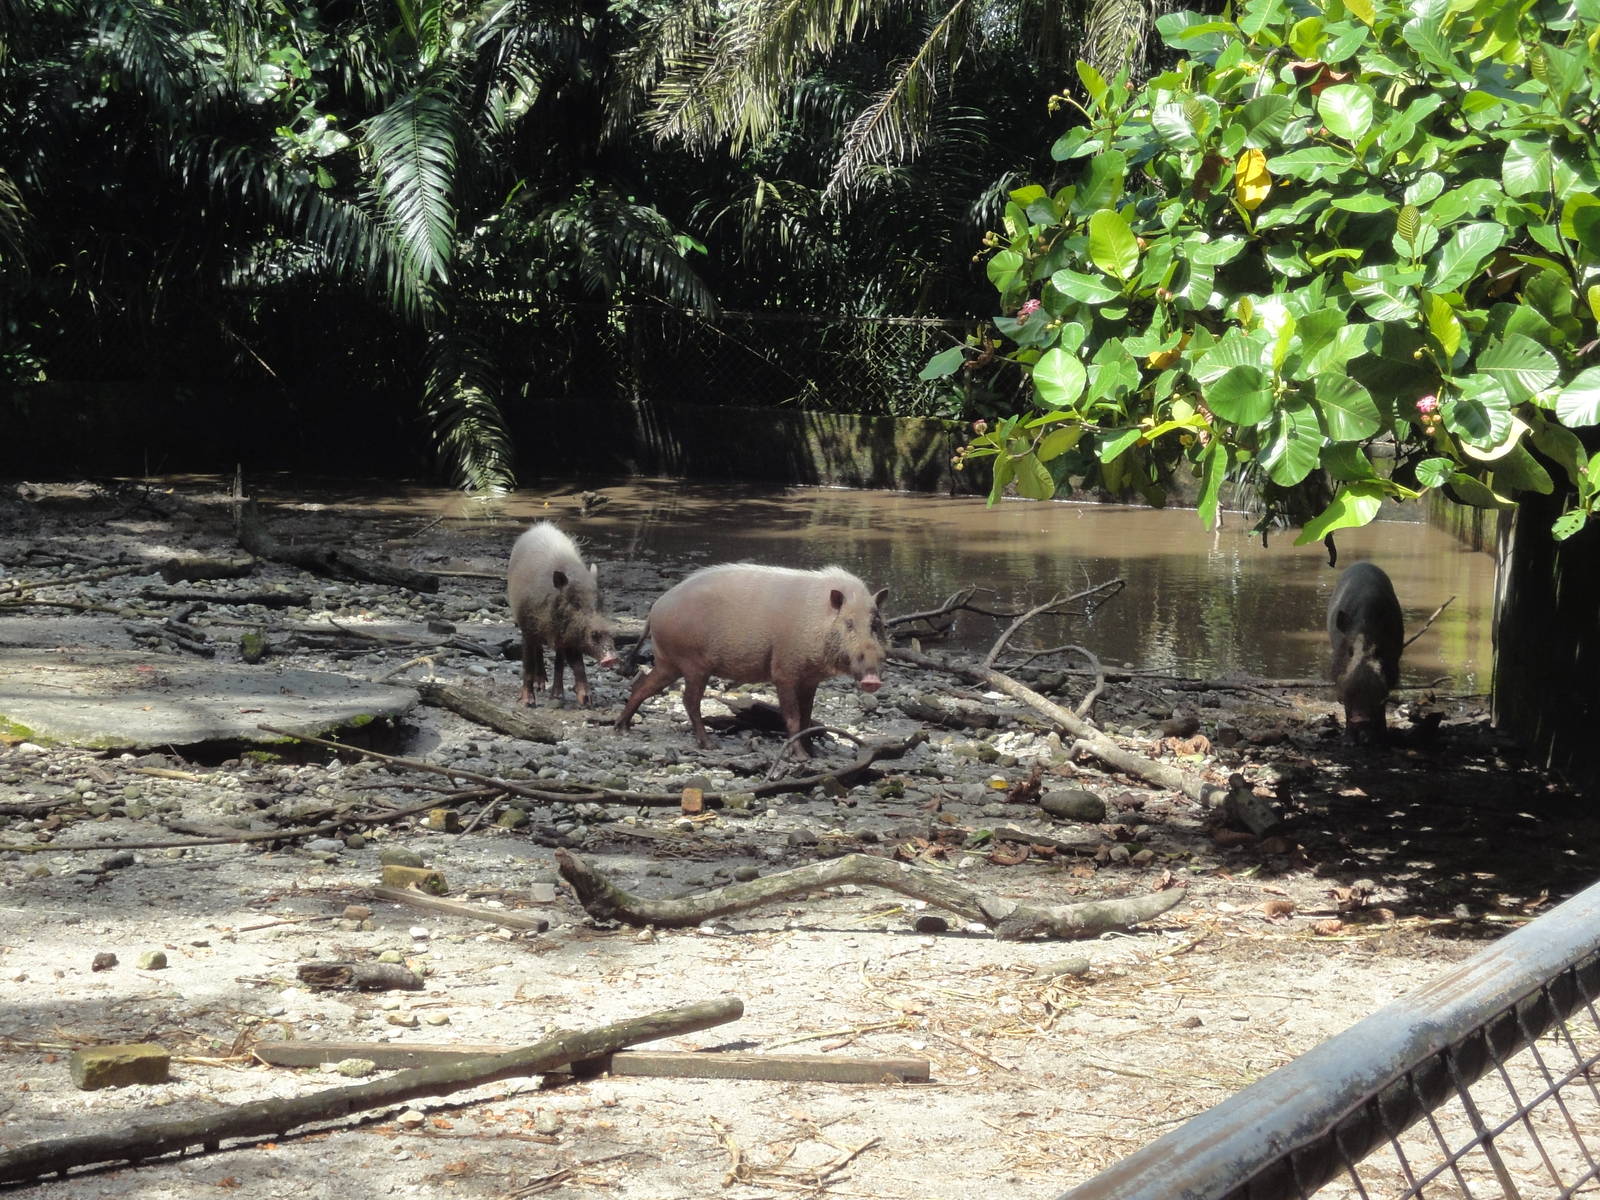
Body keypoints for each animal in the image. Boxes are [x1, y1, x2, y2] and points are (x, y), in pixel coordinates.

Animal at [506, 521, 618, 707]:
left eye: (600, 603)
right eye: (575, 603)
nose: (612, 658)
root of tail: (541, 526)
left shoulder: (571, 637)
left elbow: (577, 665)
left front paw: (586, 701)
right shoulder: (527, 626)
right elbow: (527, 663)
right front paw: (527, 703)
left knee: (559, 662)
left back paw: (556, 695)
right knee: (539, 651)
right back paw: (541, 687)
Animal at [614, 564, 890, 753]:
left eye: (876, 624)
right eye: (849, 623)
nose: (872, 679)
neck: (817, 622)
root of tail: (655, 609)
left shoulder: (810, 680)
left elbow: (807, 716)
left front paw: (814, 754)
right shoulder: (783, 671)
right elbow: (793, 717)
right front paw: (801, 758)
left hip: (668, 662)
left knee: (642, 686)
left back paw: (622, 728)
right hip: (694, 664)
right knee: (689, 700)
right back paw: (710, 745)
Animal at [1327, 561, 1404, 740]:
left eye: (1379, 652)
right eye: (1349, 651)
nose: (1361, 717)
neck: (1365, 624)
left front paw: (1381, 737)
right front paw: (1348, 741)